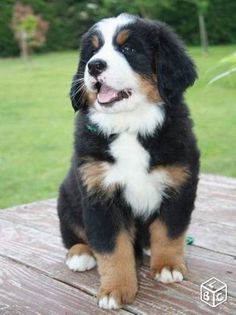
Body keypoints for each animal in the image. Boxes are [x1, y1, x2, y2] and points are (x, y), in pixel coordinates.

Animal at [57, 12, 199, 312]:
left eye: (129, 49)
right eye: (92, 51)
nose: (94, 66)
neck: (129, 126)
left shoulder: (179, 183)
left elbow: (169, 231)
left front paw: (168, 266)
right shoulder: (99, 195)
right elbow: (112, 249)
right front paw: (115, 290)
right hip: (66, 200)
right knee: (74, 235)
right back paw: (79, 254)